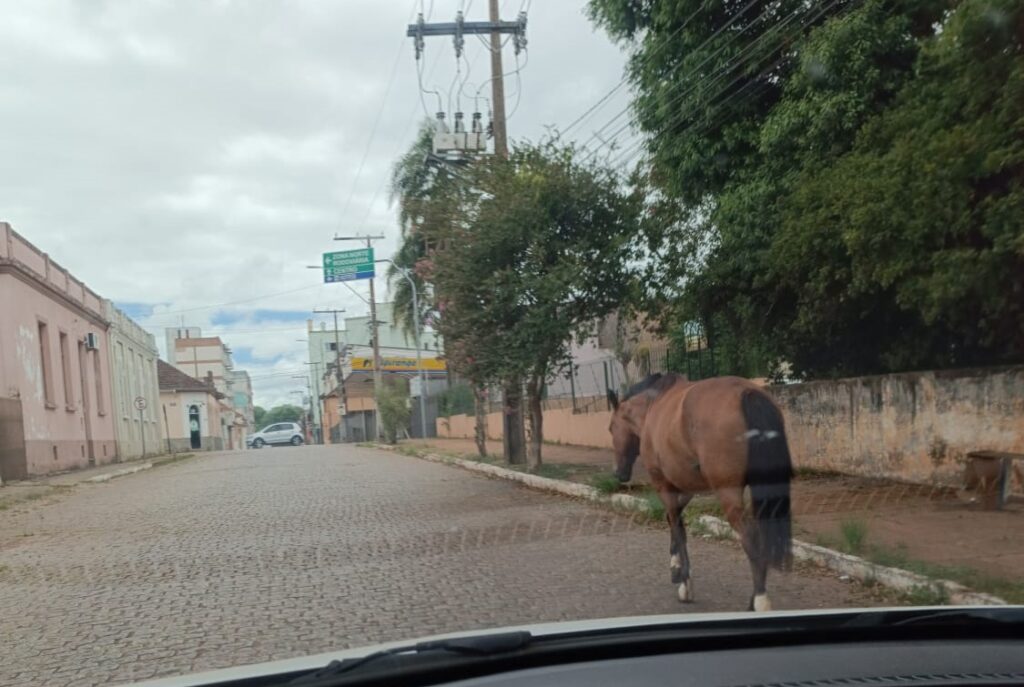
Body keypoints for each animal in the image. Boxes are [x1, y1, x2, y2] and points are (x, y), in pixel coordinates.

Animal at [606, 376, 790, 614]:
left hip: (728, 494)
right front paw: (676, 567)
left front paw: (685, 582)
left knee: (751, 537)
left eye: (611, 428)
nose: (618, 473)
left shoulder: (663, 484)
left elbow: (677, 526)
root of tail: (747, 392)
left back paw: (759, 600)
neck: (652, 407)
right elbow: (674, 519)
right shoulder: (688, 486)